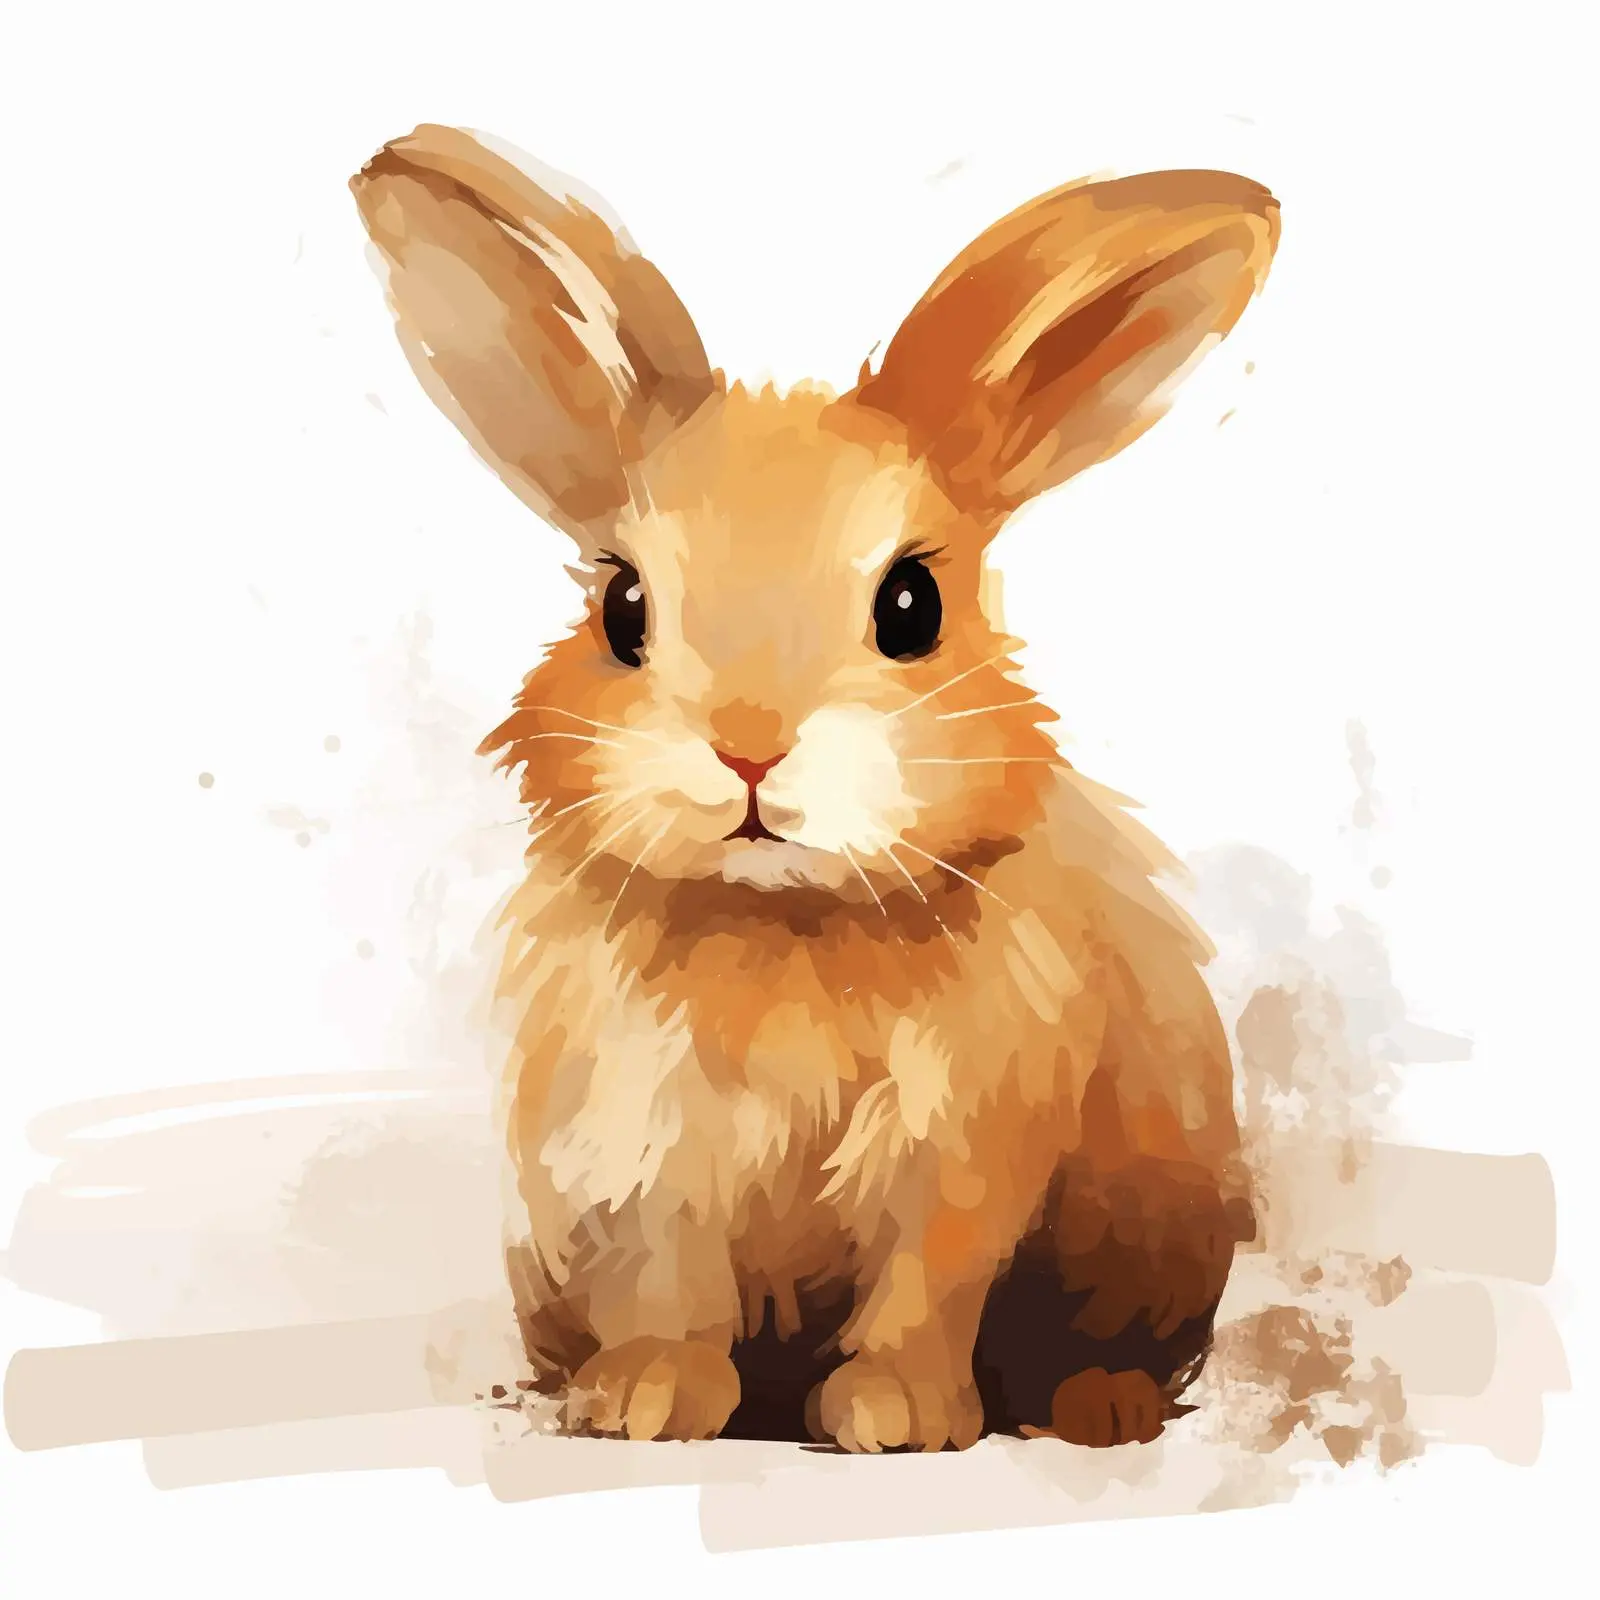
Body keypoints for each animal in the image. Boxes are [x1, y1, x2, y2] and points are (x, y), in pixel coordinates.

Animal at [351, 124, 1278, 1452]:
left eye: (913, 604)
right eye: (620, 605)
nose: (748, 750)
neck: (779, 921)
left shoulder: (957, 1159)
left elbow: (922, 1290)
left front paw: (896, 1418)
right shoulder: (642, 1158)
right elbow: (668, 1288)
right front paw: (644, 1403)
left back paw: (1103, 1408)